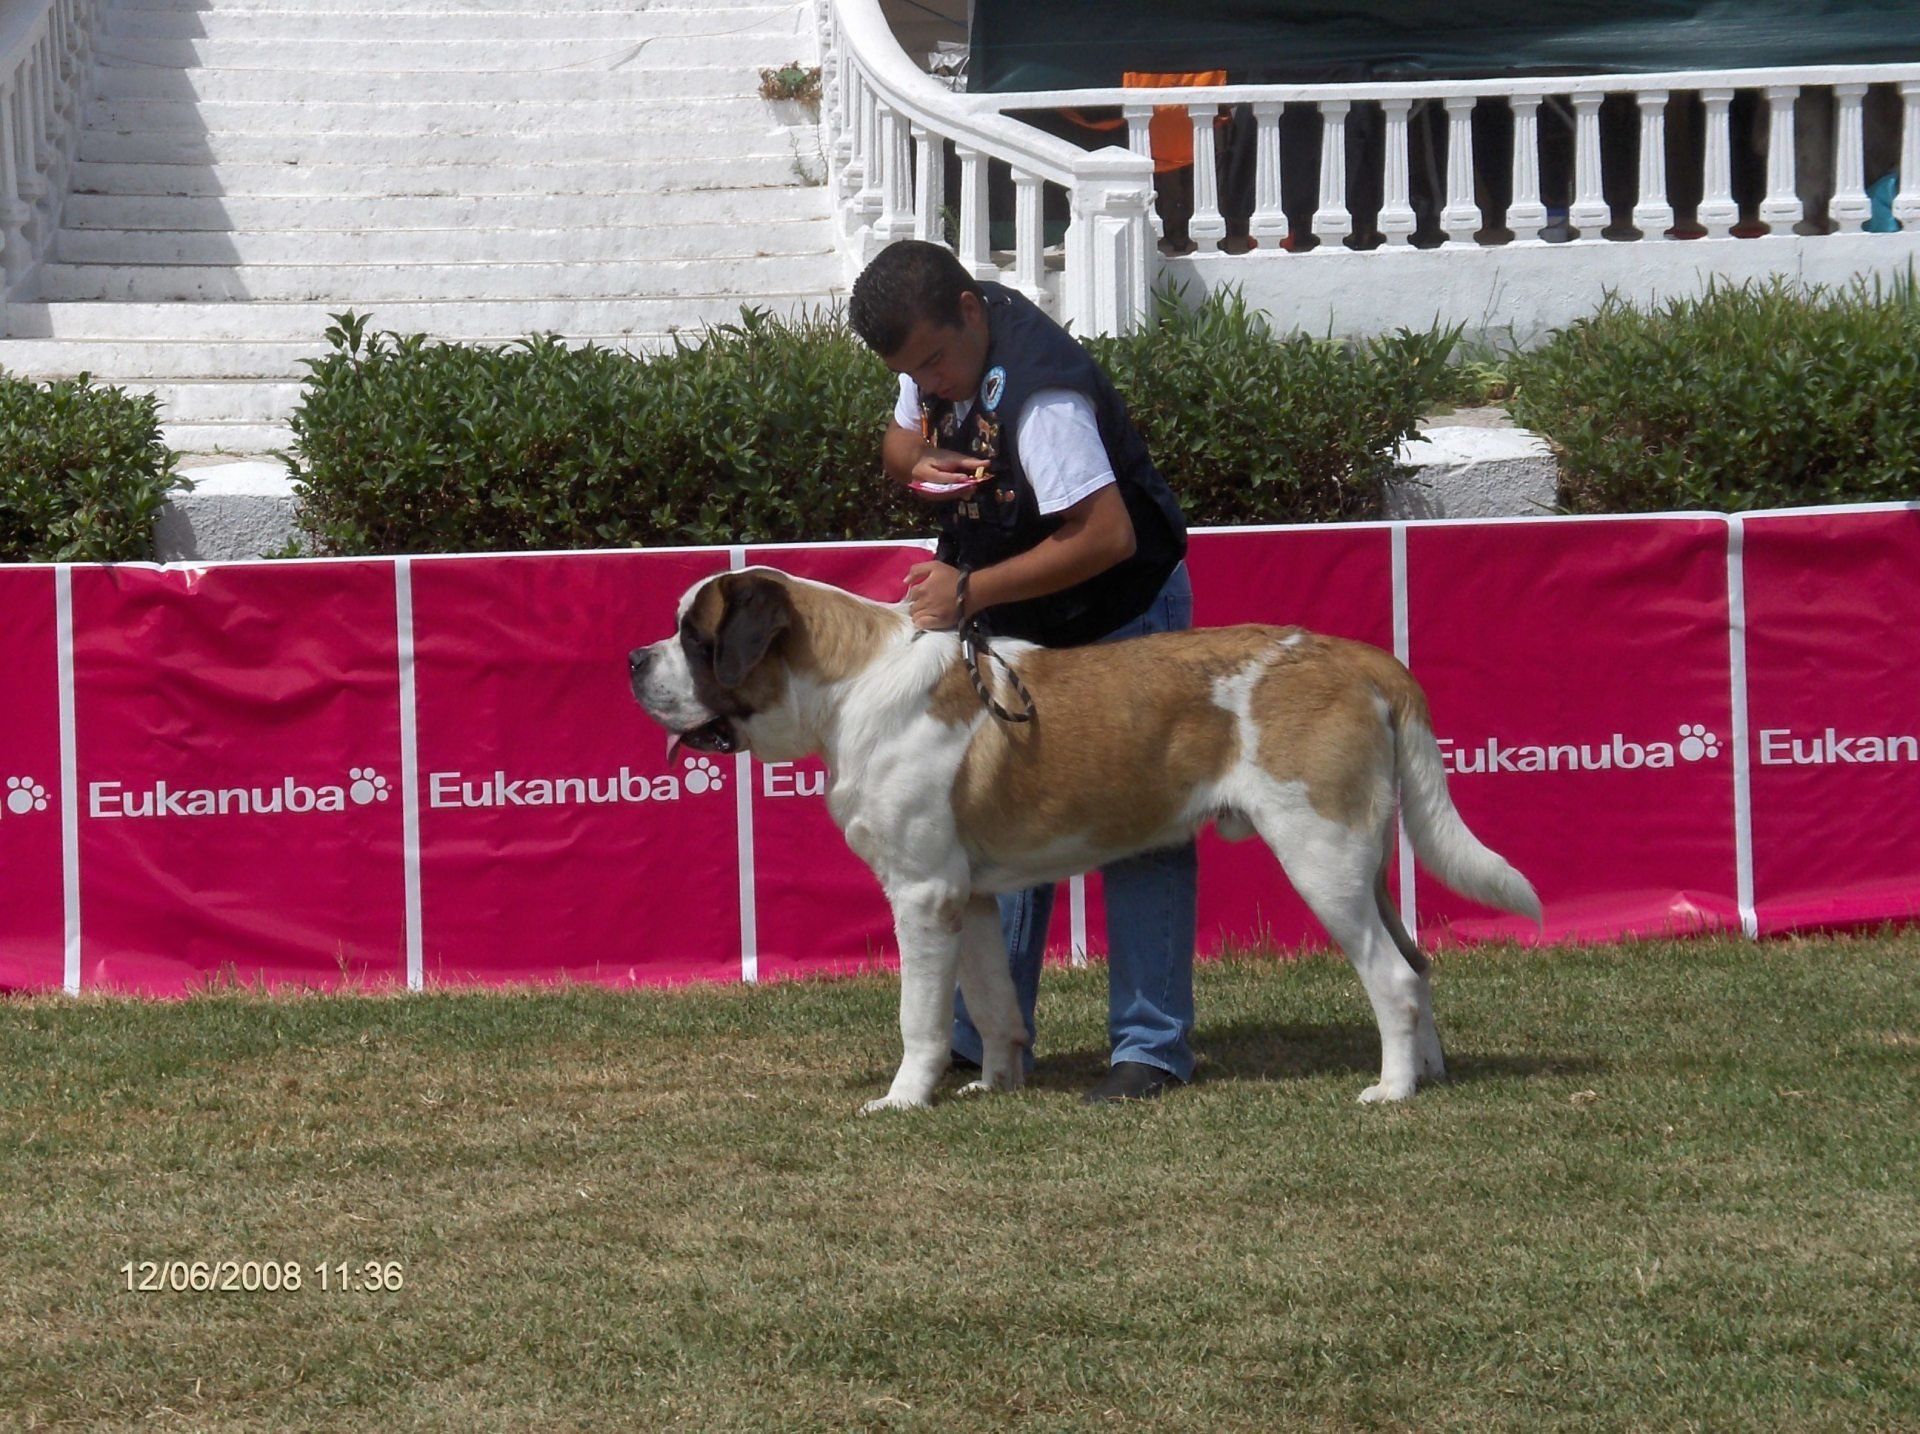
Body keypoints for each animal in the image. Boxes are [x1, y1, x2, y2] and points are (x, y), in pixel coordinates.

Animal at [629, 567, 1541, 1112]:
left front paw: (904, 1098)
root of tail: (1358, 658)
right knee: (1417, 960)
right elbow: (993, 1002)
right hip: (1365, 860)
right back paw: (1429, 1071)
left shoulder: (922, 896)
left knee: (1392, 975)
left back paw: (1390, 1090)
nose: (635, 658)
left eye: (696, 638)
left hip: (1323, 856)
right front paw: (995, 1085)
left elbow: (920, 1014)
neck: (847, 684)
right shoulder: (971, 899)